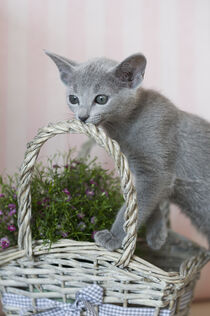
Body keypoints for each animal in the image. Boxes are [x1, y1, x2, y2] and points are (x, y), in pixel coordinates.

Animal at [45, 50, 209, 251]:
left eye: (101, 99)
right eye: (73, 99)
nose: (82, 117)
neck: (124, 126)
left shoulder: (155, 173)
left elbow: (135, 207)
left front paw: (114, 237)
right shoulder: (141, 171)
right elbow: (144, 202)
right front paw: (157, 234)